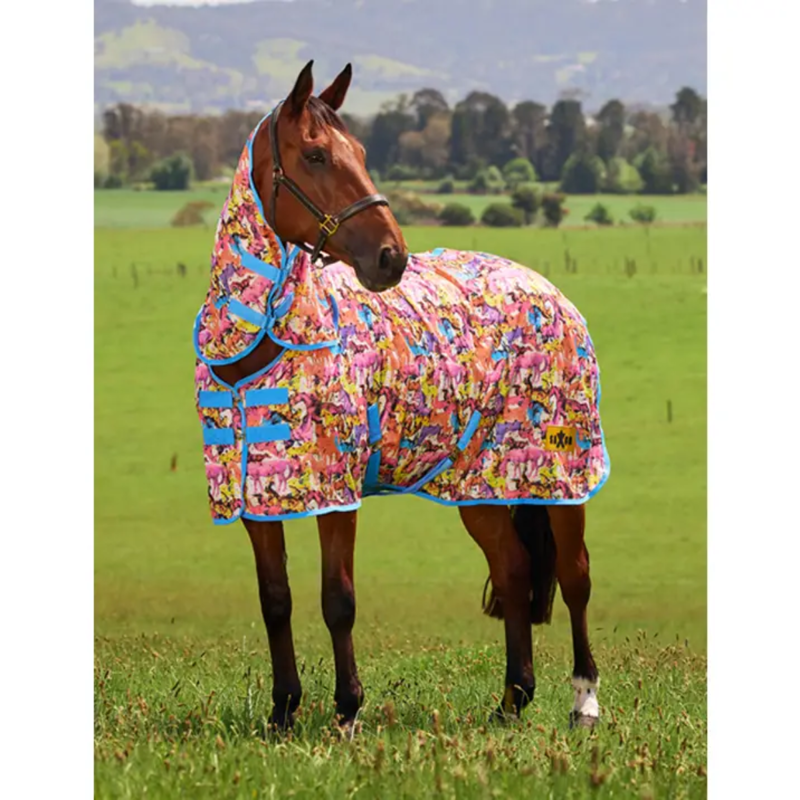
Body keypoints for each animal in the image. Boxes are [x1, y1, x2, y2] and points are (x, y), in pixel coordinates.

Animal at [193, 61, 609, 735]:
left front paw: (347, 712)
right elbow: (275, 598)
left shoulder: (336, 495)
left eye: (362, 153)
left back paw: (584, 701)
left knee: (575, 577)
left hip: (561, 475)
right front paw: (283, 712)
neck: (259, 348)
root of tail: (546, 288)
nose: (391, 256)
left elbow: (338, 599)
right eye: (315, 154)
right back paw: (512, 699)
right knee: (514, 570)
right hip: (480, 484)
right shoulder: (255, 498)